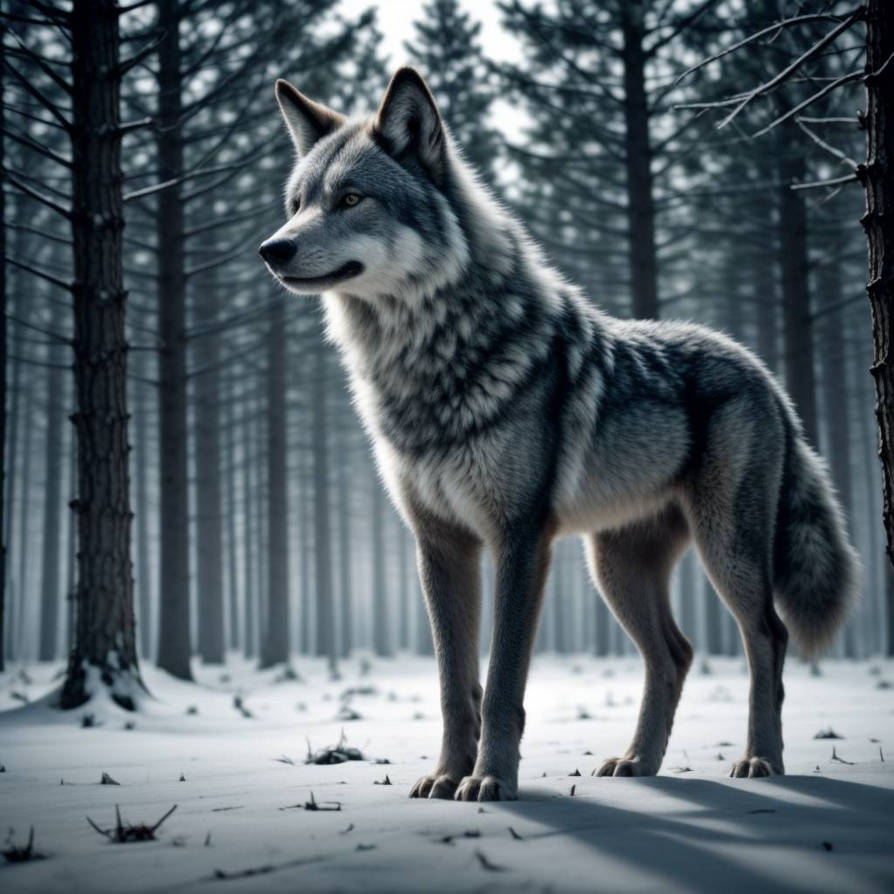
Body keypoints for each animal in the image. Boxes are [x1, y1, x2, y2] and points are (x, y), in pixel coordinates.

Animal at [260, 67, 858, 802]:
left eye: (350, 199)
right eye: (296, 203)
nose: (272, 248)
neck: (427, 361)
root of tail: (761, 371)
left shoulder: (520, 539)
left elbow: (502, 683)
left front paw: (490, 780)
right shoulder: (440, 544)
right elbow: (453, 686)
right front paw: (447, 776)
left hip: (726, 553)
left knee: (766, 637)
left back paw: (761, 762)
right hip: (614, 568)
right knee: (675, 654)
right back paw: (638, 763)